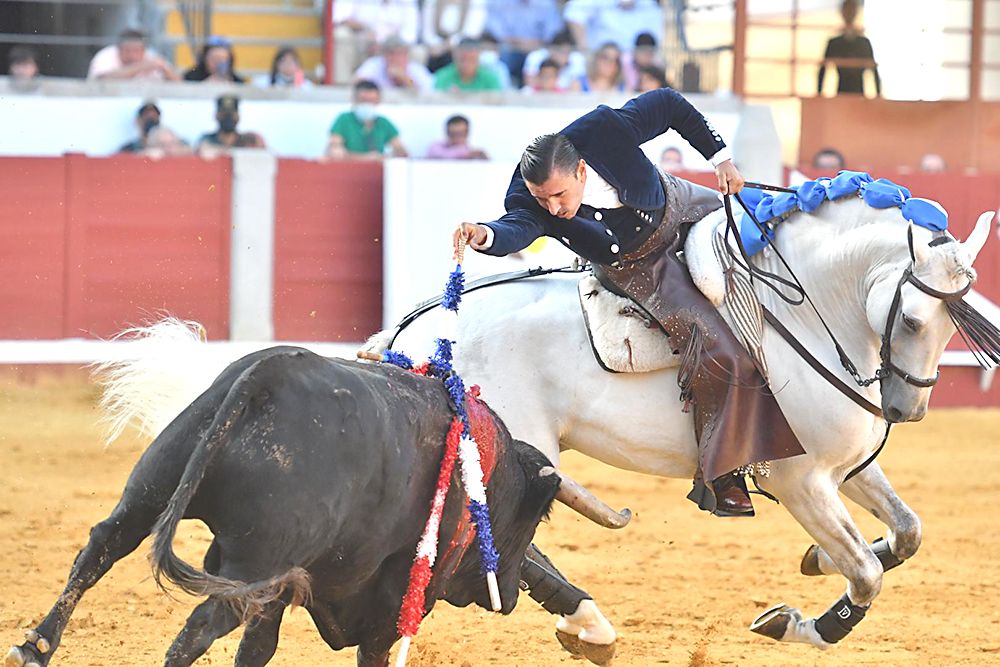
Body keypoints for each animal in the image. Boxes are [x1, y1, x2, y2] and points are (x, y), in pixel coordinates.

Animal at [7, 348, 584, 664]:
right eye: (531, 524)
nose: (508, 596)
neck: (482, 470)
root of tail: (269, 377)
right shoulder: (392, 596)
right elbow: (371, 650)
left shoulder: (286, 583)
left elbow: (258, 648)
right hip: (251, 564)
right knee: (199, 626)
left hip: (151, 492)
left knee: (100, 550)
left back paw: (34, 649)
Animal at [92, 194, 992, 664]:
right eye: (916, 315)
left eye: (956, 319)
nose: (907, 409)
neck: (798, 309)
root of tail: (418, 331)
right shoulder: (797, 477)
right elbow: (870, 574)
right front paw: (800, 619)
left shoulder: (844, 469)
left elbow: (905, 534)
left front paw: (816, 564)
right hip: (511, 445)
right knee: (513, 538)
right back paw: (587, 621)